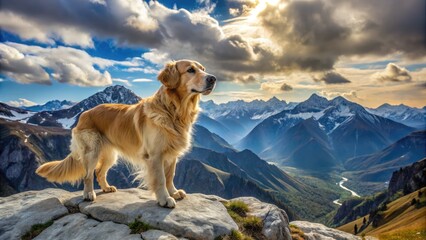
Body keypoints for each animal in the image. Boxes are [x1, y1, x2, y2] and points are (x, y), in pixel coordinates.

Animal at [35, 59, 216, 207]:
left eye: (203, 69)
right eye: (191, 70)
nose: (213, 78)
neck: (173, 110)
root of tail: (84, 114)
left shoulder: (171, 154)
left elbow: (170, 175)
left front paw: (173, 192)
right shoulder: (155, 155)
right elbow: (160, 179)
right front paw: (164, 199)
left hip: (110, 154)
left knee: (99, 172)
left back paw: (106, 188)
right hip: (92, 151)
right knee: (88, 175)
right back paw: (89, 194)